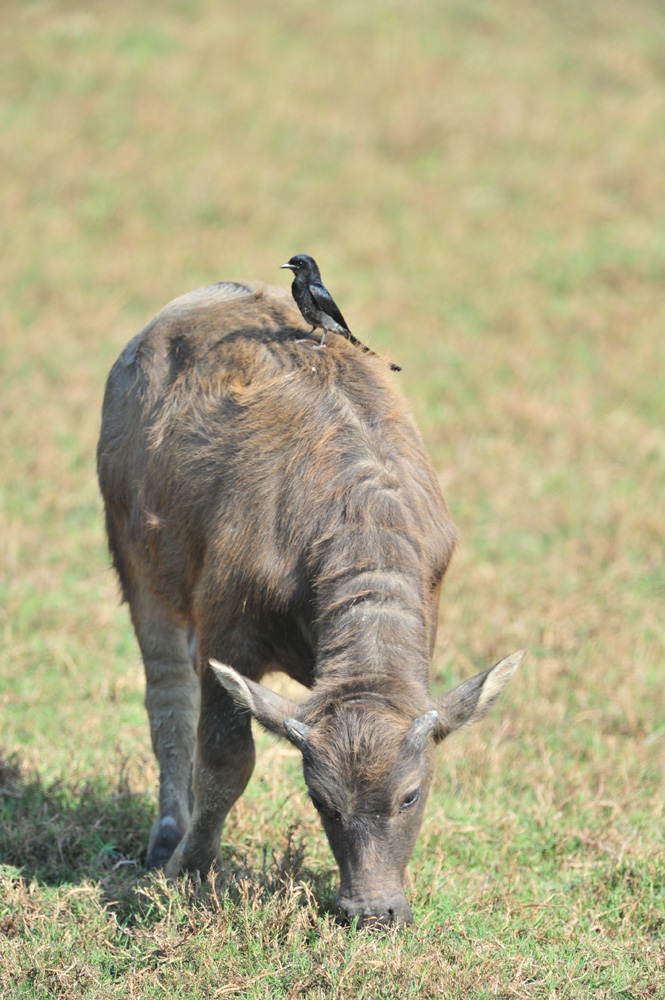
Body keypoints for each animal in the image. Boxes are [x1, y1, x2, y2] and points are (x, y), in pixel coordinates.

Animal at [98, 278, 524, 924]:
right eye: (320, 799)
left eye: (410, 795)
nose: (372, 912)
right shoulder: (227, 635)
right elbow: (225, 760)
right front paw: (190, 869)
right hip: (135, 559)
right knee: (168, 697)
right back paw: (169, 835)